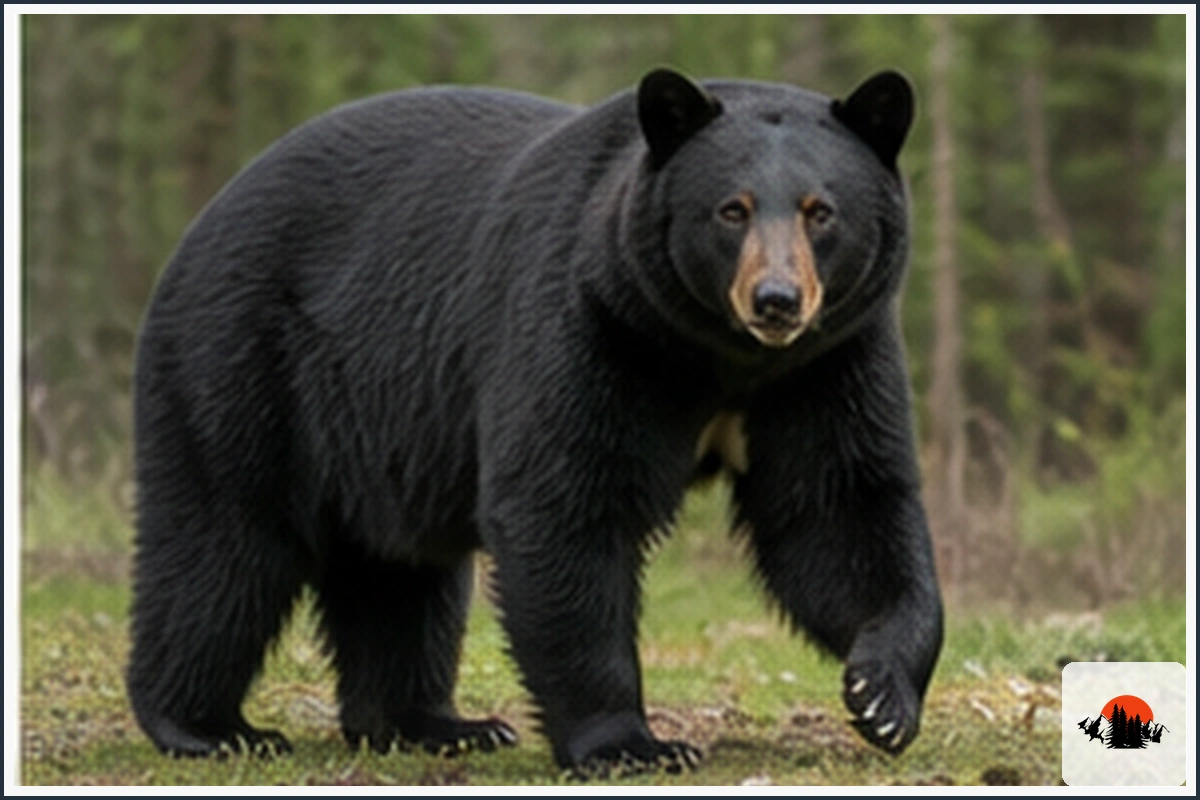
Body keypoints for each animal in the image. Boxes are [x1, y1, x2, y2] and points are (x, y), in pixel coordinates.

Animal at [127, 66, 944, 776]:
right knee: (222, 546)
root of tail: (201, 225)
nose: (776, 300)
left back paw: (433, 724)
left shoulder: (825, 365)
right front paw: (631, 745)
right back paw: (208, 727)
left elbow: (839, 513)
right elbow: (566, 507)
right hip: (241, 360)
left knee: (400, 574)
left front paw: (880, 695)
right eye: (732, 209)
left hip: (382, 432)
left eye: (821, 211)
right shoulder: (591, 324)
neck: (720, 356)